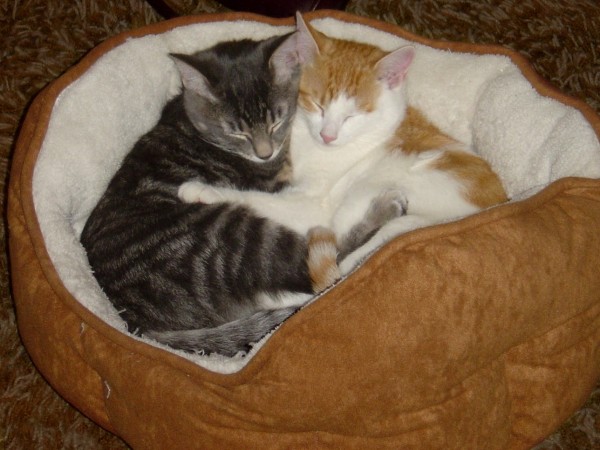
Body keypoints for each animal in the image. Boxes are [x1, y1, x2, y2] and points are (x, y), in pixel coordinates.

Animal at [79, 32, 398, 358]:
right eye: (236, 132)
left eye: (276, 121)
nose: (265, 153)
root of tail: (131, 317)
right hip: (244, 238)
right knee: (323, 266)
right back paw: (385, 208)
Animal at [178, 14, 506, 272]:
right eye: (316, 105)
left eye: (352, 115)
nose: (328, 135)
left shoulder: (314, 204)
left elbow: (260, 199)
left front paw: (202, 190)